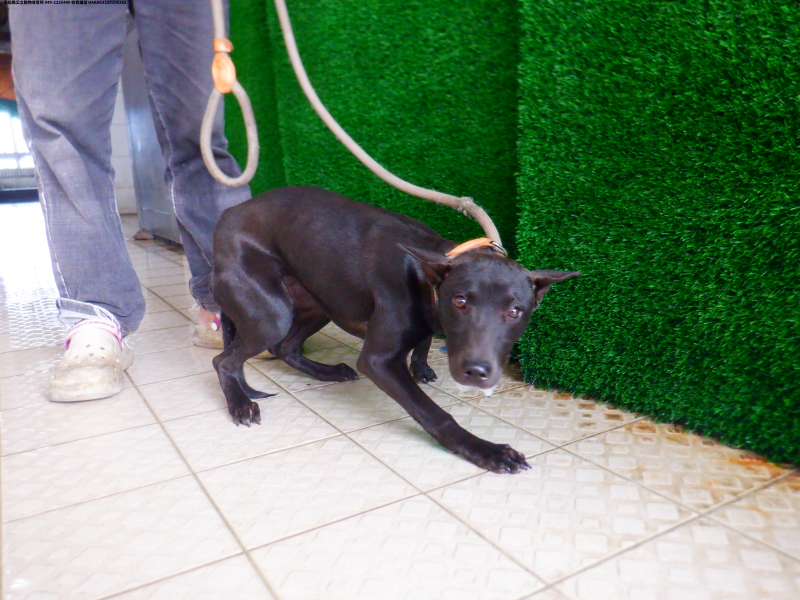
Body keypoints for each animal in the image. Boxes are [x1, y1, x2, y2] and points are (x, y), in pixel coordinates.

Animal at [211, 186, 580, 473]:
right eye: (460, 301)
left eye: (515, 311)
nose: (476, 372)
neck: (424, 274)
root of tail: (229, 213)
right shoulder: (378, 361)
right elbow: (434, 413)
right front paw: (482, 450)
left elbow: (424, 341)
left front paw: (422, 366)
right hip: (272, 314)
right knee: (225, 360)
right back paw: (240, 404)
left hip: (319, 301)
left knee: (285, 348)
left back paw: (328, 372)